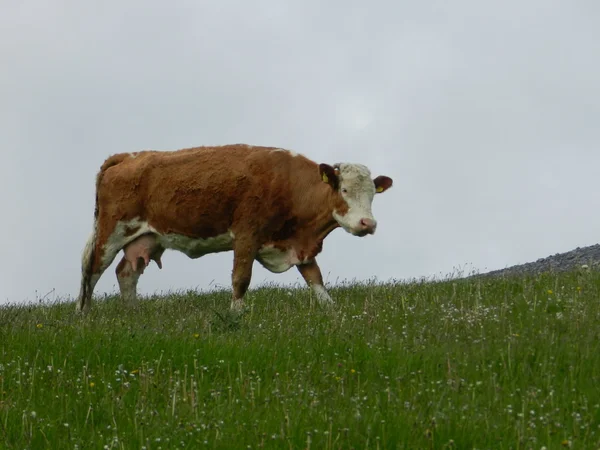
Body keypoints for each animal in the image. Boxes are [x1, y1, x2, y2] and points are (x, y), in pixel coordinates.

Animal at [75, 144, 394, 312]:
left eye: (373, 194)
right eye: (343, 189)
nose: (368, 223)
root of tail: (130, 155)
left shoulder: (297, 244)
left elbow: (316, 280)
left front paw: (333, 313)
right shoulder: (246, 234)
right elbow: (241, 279)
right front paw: (236, 316)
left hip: (149, 236)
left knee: (125, 272)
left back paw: (133, 313)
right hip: (110, 231)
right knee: (92, 270)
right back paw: (84, 314)